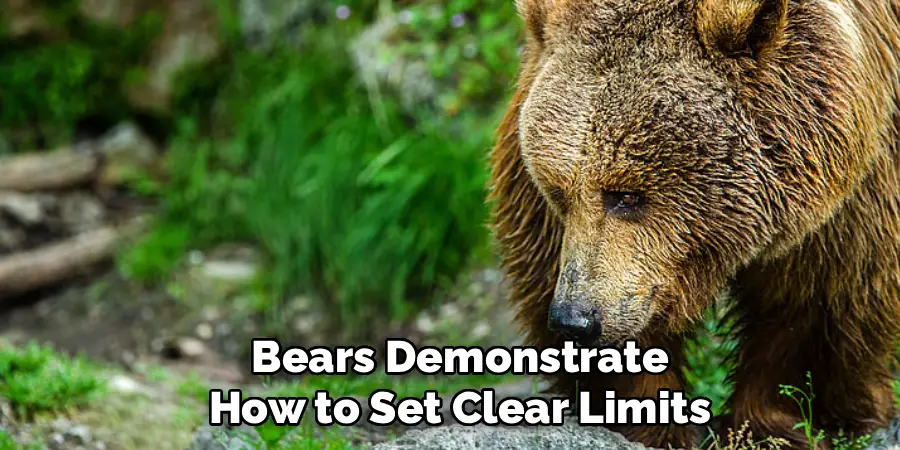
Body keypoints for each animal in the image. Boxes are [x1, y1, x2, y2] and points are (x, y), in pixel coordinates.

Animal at [488, 0, 900, 448]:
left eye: (627, 195)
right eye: (557, 191)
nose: (574, 320)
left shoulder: (854, 184)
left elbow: (819, 297)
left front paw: (780, 422)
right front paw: (645, 418)